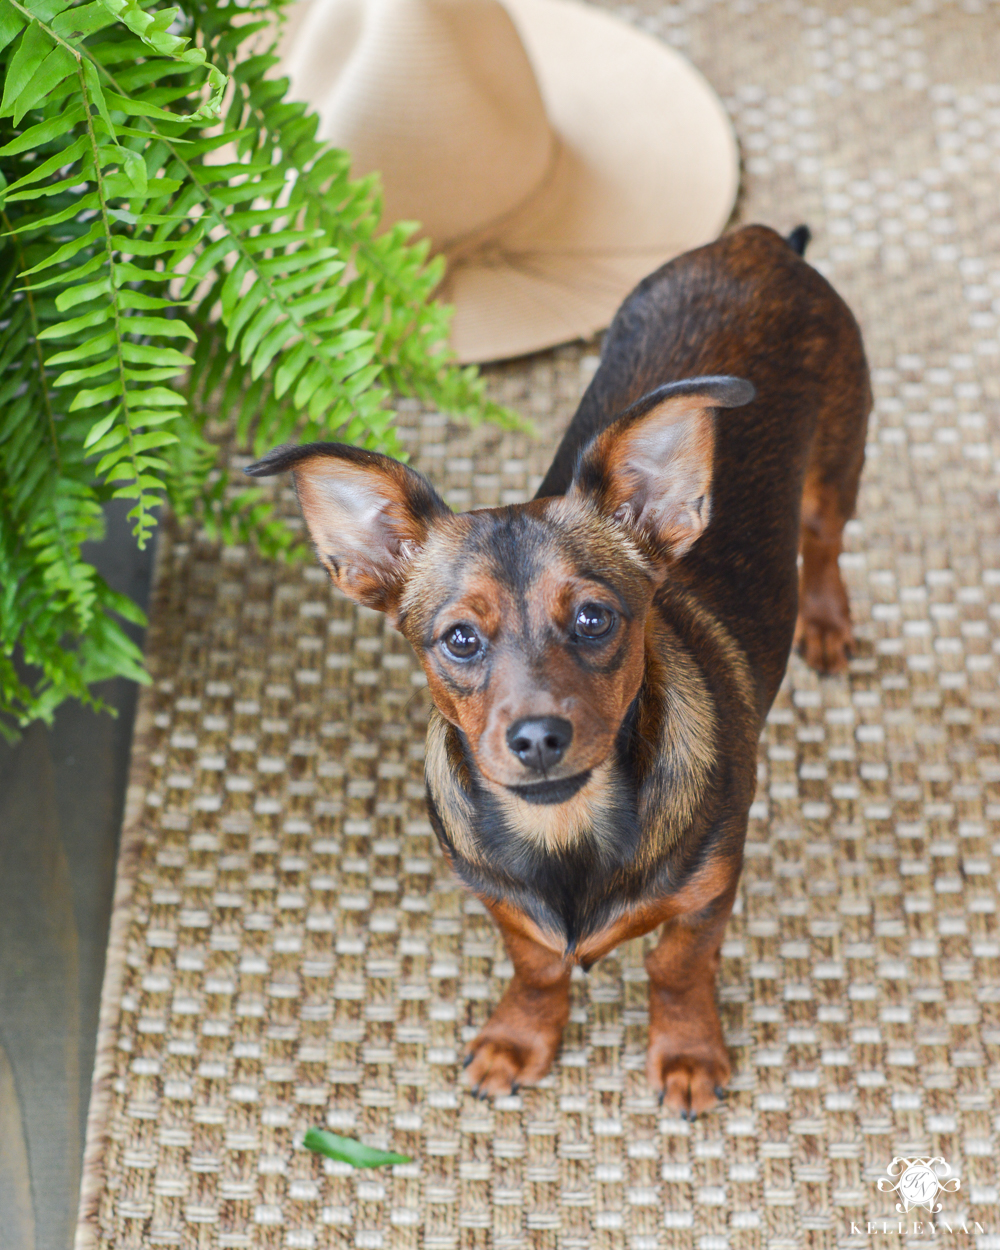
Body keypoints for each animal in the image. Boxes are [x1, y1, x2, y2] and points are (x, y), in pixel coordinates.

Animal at [246, 222, 870, 1115]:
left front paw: (688, 1055)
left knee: (823, 541)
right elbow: (539, 967)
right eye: (458, 640)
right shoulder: (501, 902)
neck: (566, 828)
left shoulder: (712, 888)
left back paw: (824, 622)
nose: (539, 738)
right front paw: (519, 1040)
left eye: (594, 618)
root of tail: (759, 243)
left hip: (839, 459)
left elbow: (677, 967)